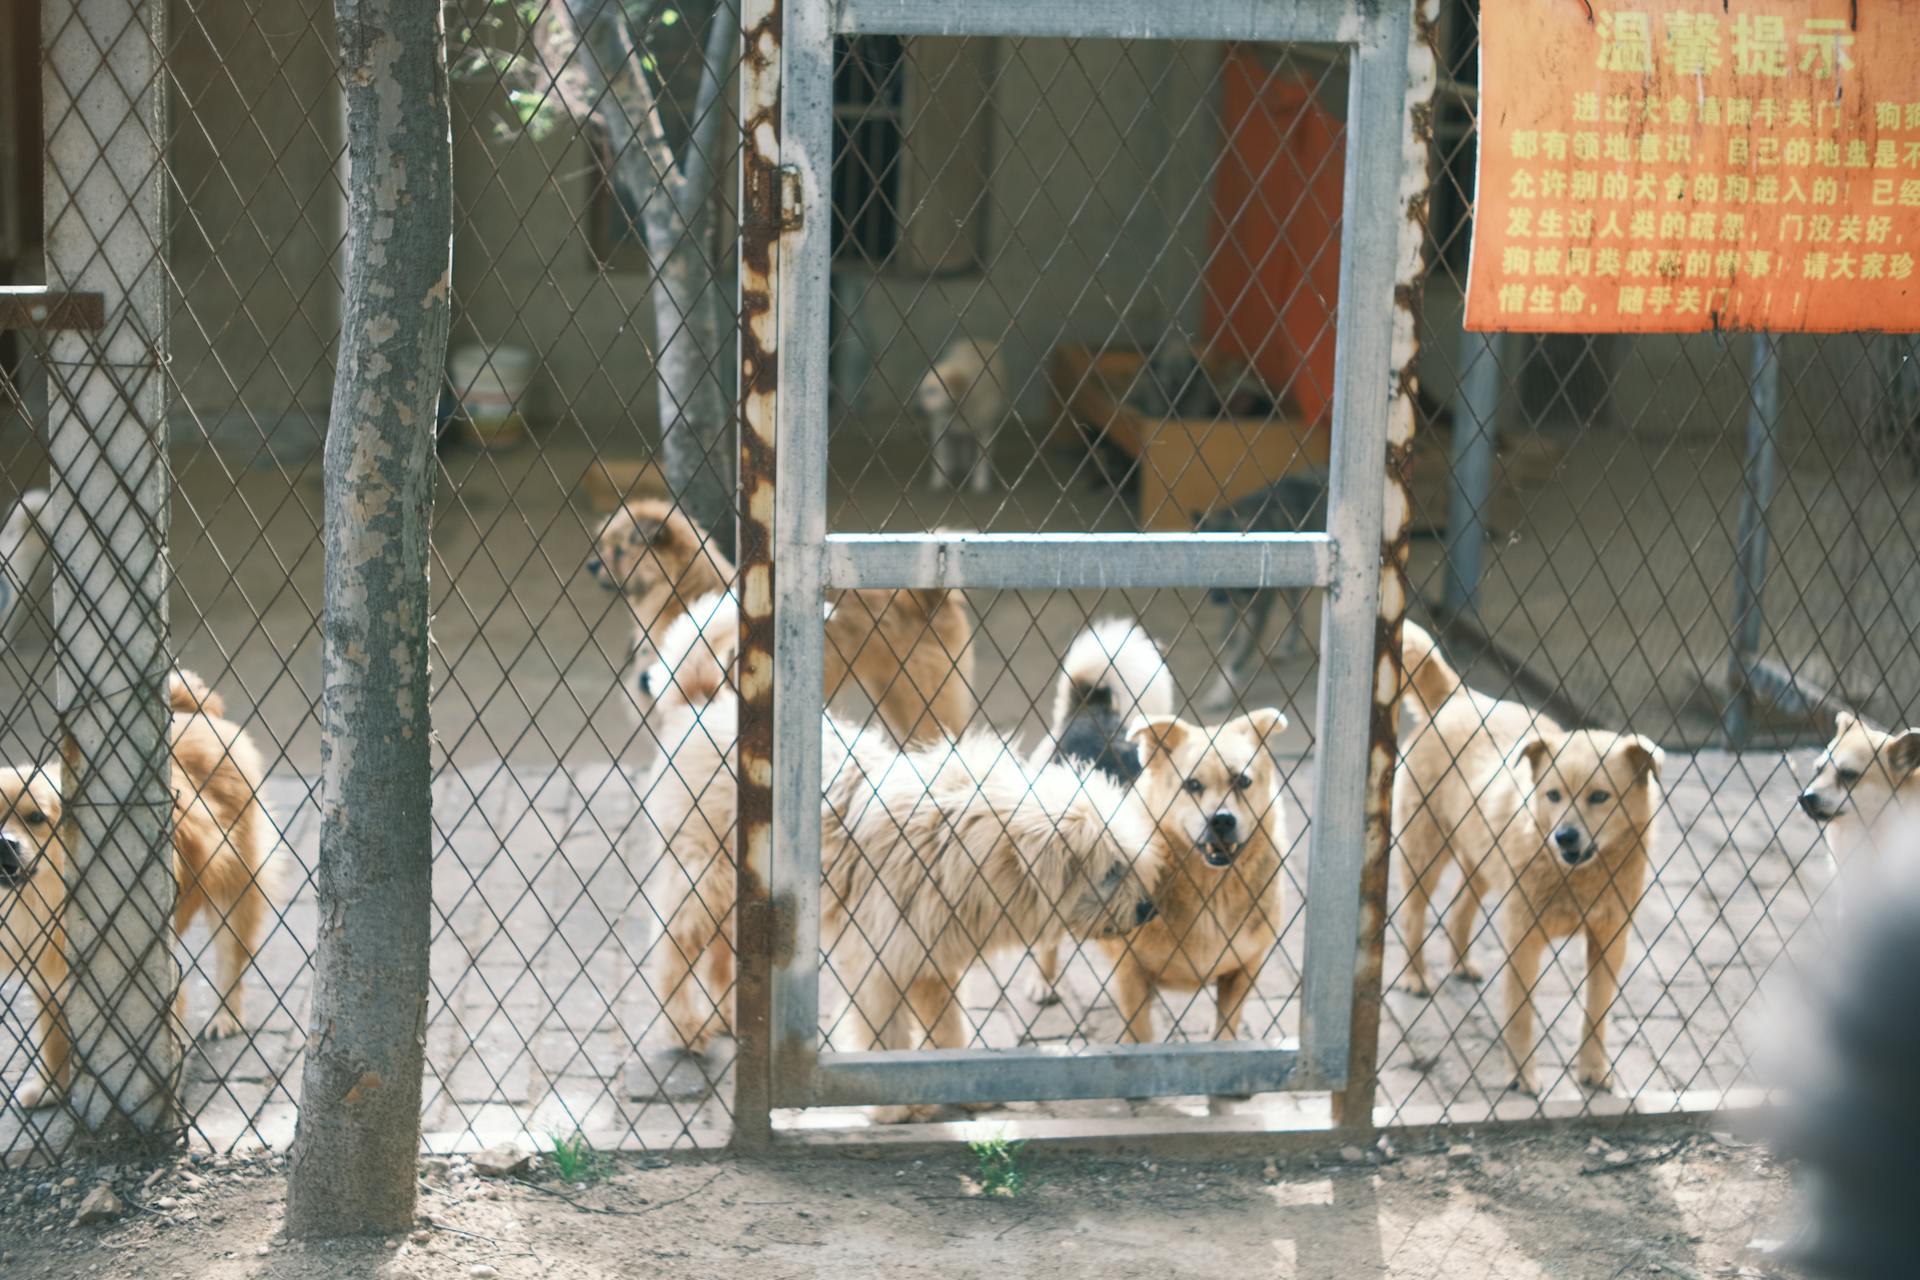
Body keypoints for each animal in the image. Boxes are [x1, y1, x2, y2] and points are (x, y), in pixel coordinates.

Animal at [0, 675, 278, 1105]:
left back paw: (225, 1016)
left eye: (35, 818)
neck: (44, 902)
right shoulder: (46, 982)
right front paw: (50, 1086)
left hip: (234, 890)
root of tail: (193, 713)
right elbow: (52, 1039)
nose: (5, 843)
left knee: (231, 959)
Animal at [583, 498, 975, 744]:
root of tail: (927, 596)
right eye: (602, 544)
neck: (685, 591)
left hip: (922, 696)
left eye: (619, 550)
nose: (590, 564)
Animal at [1098, 706, 1290, 1043]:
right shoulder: (1130, 974)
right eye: (1192, 785)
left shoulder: (1245, 969)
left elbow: (1225, 1031)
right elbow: (1140, 1036)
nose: (1222, 820)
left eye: (1242, 781)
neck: (1210, 888)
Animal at [1390, 625, 1658, 1097]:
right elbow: (1522, 1015)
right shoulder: (1523, 940)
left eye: (1599, 796)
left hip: (1481, 858)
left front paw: (1593, 1070)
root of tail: (1456, 696)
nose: (1564, 836)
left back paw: (1461, 964)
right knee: (1414, 914)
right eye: (1553, 794)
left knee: (1460, 908)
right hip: (1426, 853)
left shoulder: (1609, 942)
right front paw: (1524, 1076)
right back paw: (1416, 976)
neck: (1577, 876)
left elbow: (1596, 1014)